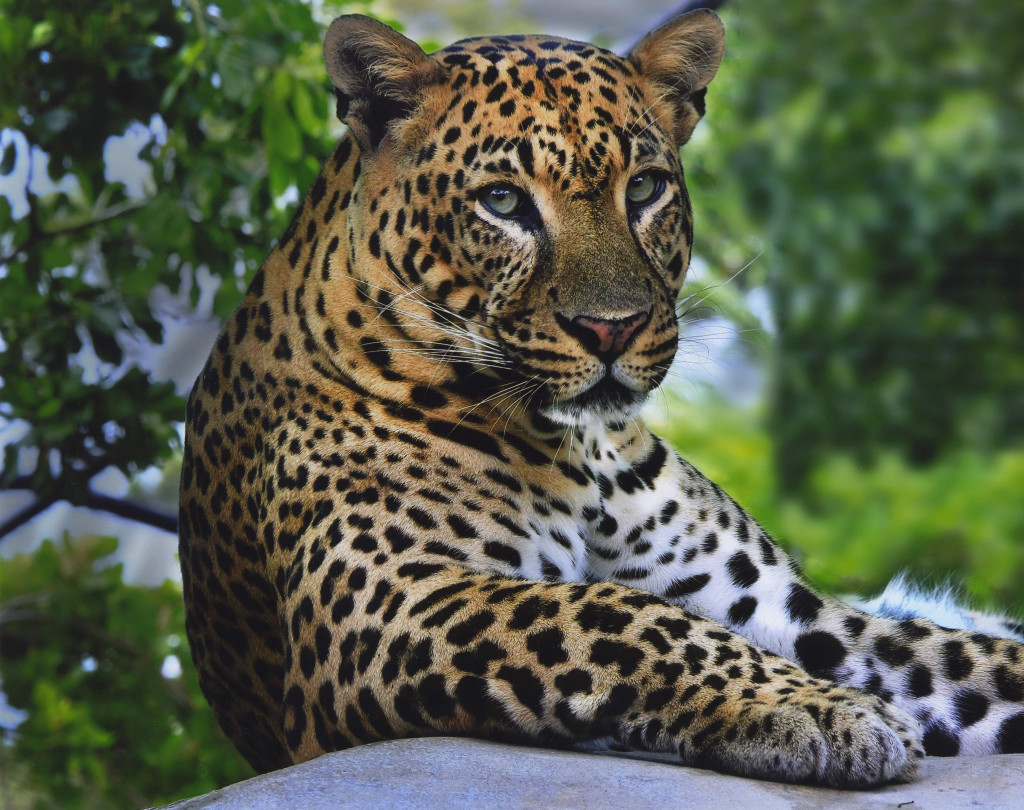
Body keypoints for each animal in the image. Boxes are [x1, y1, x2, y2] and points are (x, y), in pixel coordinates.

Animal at [180, 9, 1024, 790]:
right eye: (503, 202)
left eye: (644, 188)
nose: (610, 329)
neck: (582, 456)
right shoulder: (393, 599)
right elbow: (616, 612)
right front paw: (820, 708)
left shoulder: (793, 612)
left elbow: (958, 656)